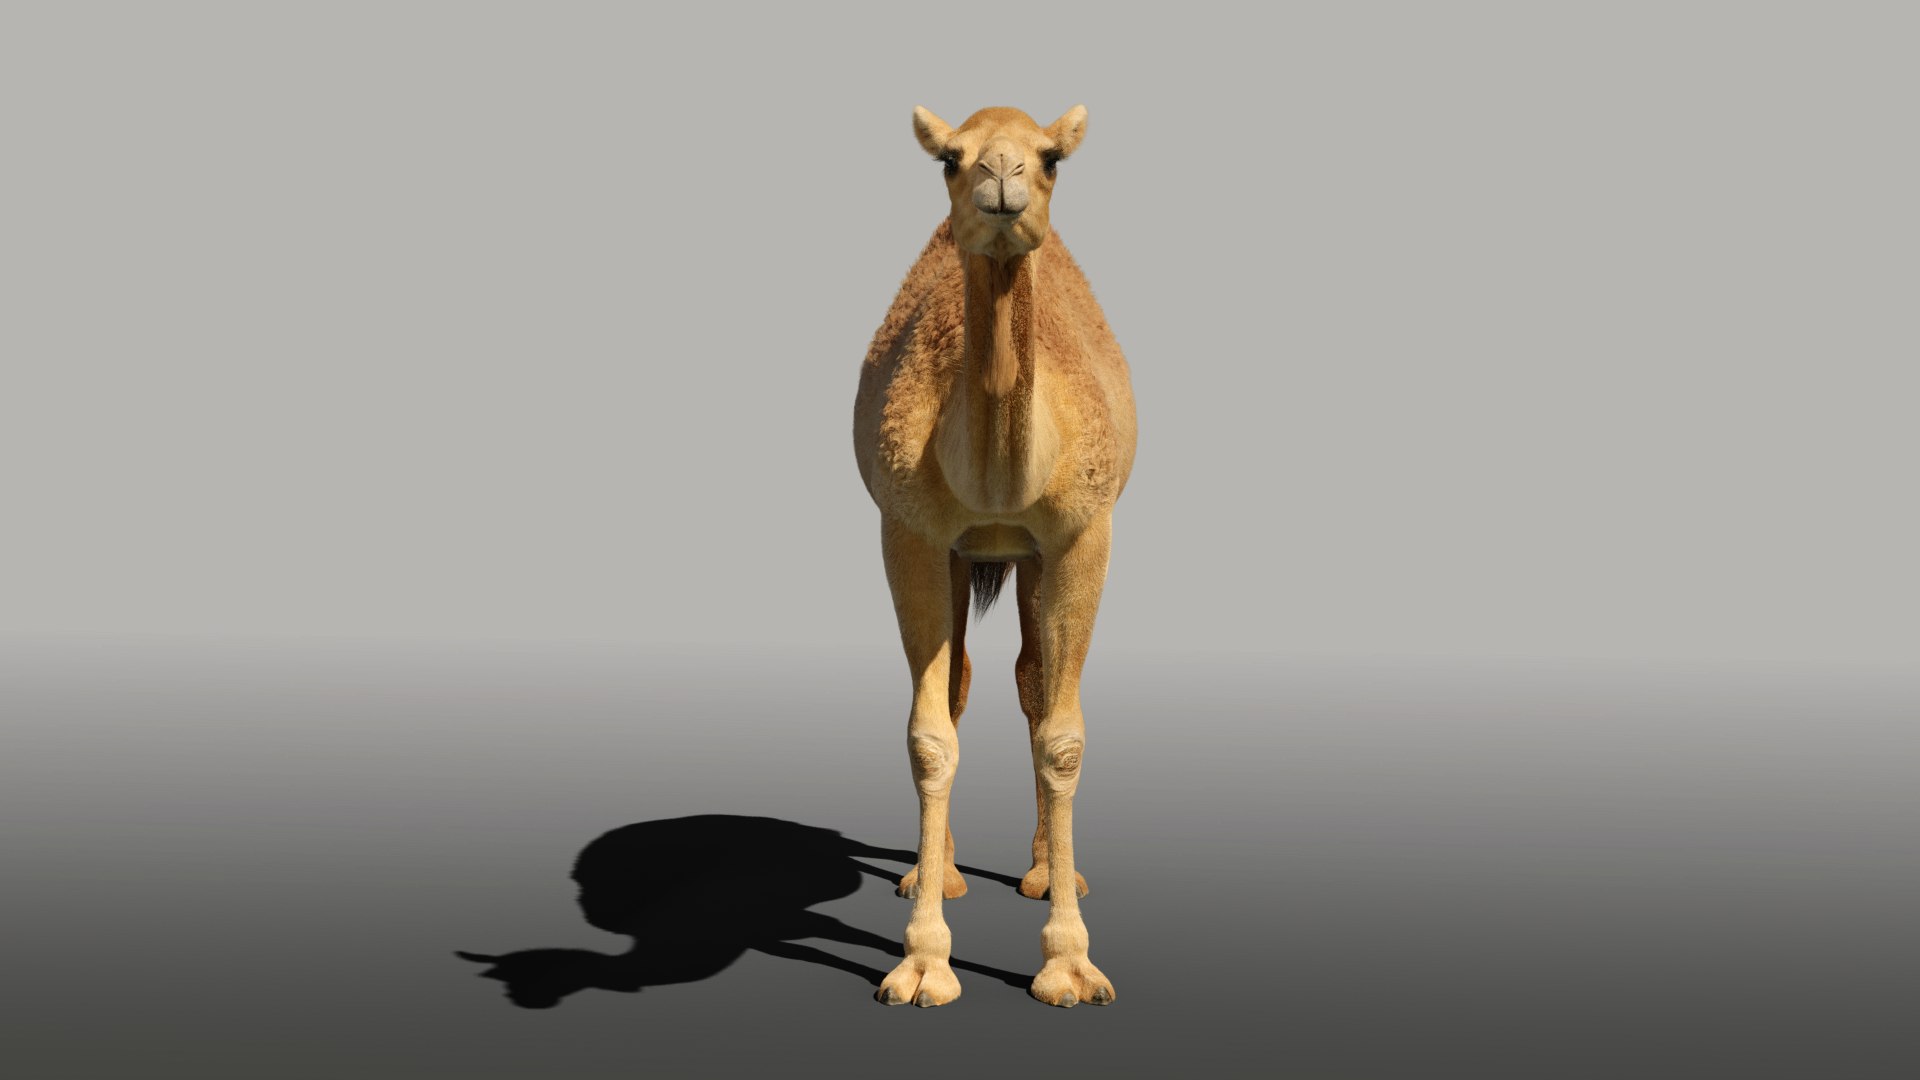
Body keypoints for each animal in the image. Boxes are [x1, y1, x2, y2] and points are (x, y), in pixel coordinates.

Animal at [852, 104, 1137, 1008]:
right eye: (950, 158)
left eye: (1052, 159)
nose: (1002, 180)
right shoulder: (909, 529)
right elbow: (931, 735)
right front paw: (923, 963)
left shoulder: (1082, 533)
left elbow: (1063, 736)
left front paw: (1069, 965)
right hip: (960, 552)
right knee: (967, 685)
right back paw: (935, 874)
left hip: (1034, 557)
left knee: (1034, 683)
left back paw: (1051, 875)